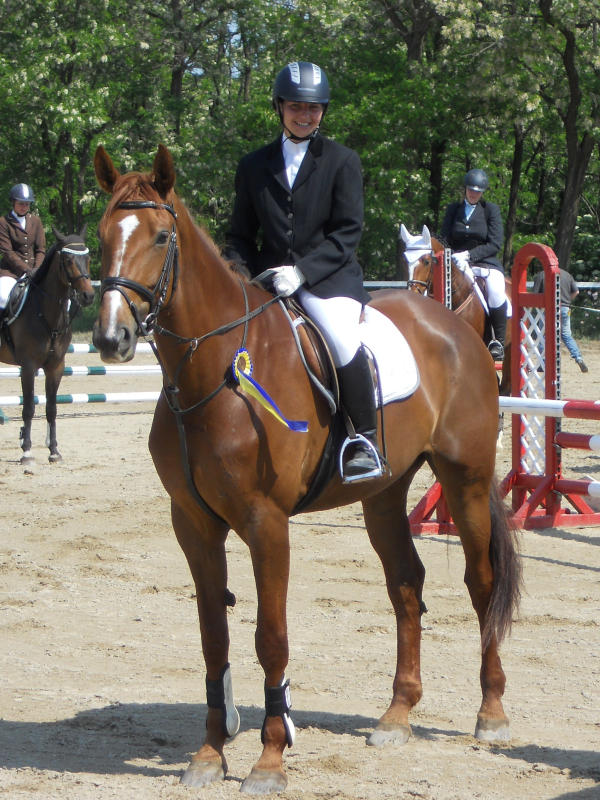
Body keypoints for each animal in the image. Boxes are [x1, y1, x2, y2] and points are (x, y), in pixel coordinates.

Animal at [0, 228, 95, 464]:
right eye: (68, 260)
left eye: (88, 258)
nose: (88, 296)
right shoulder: (28, 366)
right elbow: (28, 407)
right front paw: (26, 451)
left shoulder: (56, 366)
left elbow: (51, 408)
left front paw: (54, 451)